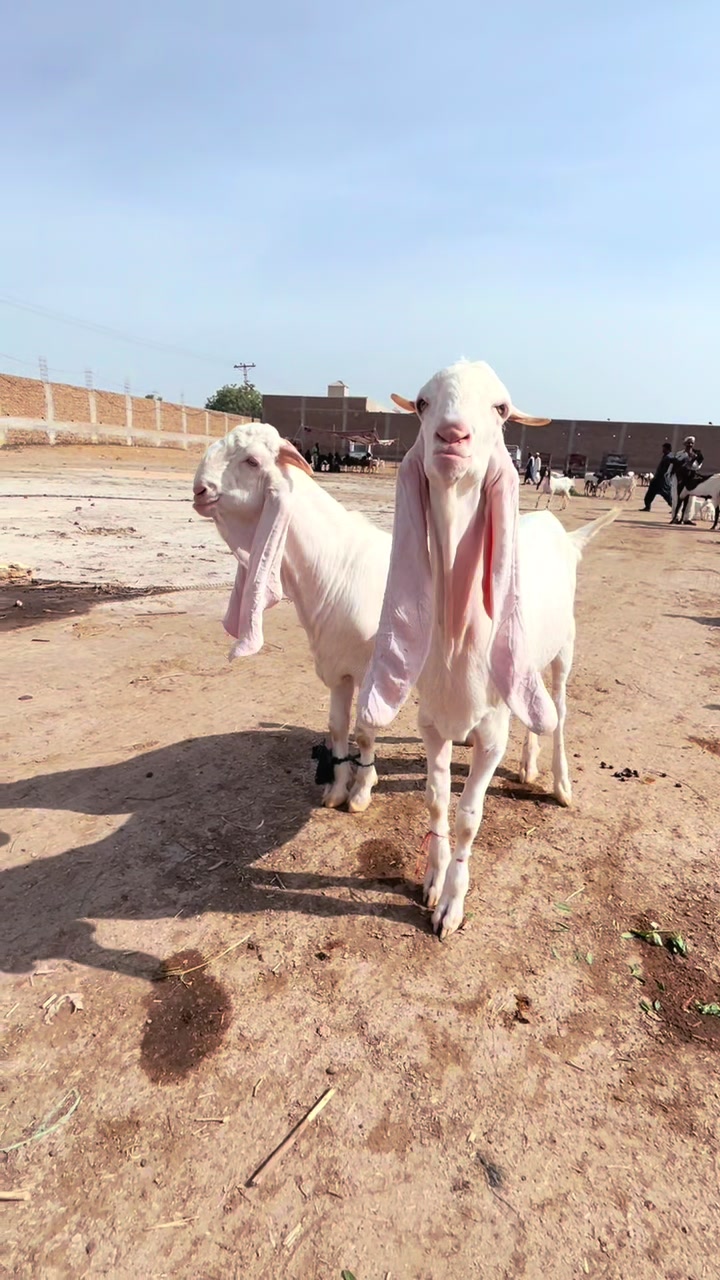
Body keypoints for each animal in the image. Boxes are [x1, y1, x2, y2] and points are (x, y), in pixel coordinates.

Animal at [193, 424, 390, 812]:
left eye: (252, 461)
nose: (199, 490)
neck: (338, 564)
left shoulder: (371, 669)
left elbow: (364, 732)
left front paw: (361, 793)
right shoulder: (337, 667)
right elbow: (337, 727)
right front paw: (336, 791)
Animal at [356, 360, 617, 938]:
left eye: (501, 408)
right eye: (423, 402)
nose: (453, 435)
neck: (457, 641)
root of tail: (561, 534)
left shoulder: (491, 731)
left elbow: (468, 816)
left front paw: (452, 904)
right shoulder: (431, 722)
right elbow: (435, 802)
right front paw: (431, 882)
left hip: (565, 649)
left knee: (558, 709)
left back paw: (560, 783)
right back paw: (530, 765)